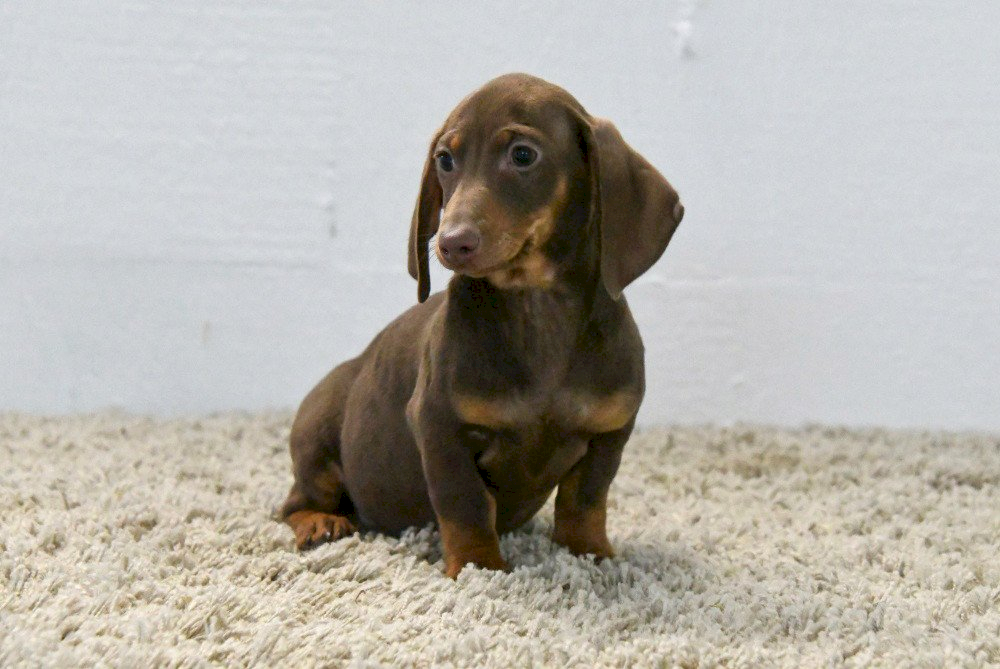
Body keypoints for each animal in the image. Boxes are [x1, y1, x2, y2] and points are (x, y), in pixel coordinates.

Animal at [280, 73, 684, 578]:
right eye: (445, 160)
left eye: (523, 155)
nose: (451, 243)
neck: (537, 312)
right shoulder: (439, 427)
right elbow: (464, 503)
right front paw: (479, 566)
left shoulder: (610, 432)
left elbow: (586, 498)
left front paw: (589, 553)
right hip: (316, 443)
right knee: (294, 502)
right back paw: (320, 522)